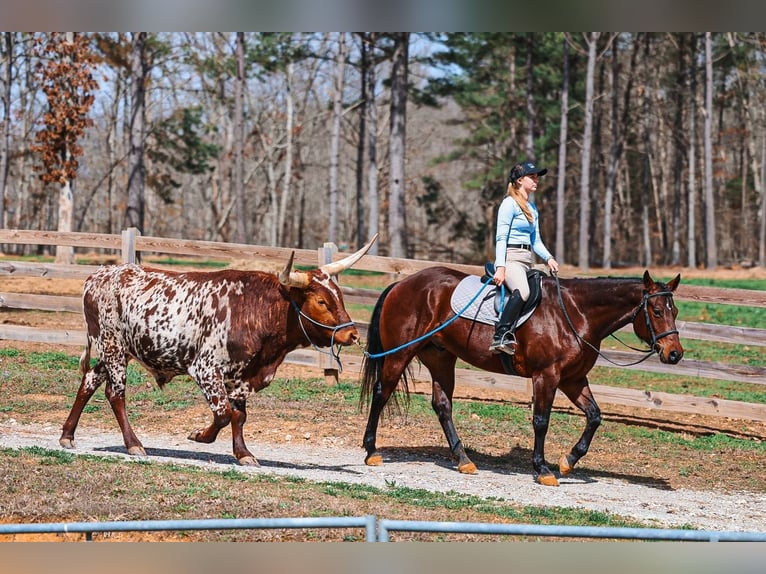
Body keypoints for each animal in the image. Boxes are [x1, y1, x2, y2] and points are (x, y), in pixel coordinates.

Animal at [359, 266, 683, 486]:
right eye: (656, 311)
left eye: (675, 311)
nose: (675, 354)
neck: (576, 313)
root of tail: (403, 283)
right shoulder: (546, 376)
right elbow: (541, 421)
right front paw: (542, 469)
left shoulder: (573, 380)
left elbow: (594, 416)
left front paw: (568, 461)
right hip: (400, 354)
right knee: (382, 393)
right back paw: (371, 450)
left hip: (440, 359)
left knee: (442, 406)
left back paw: (463, 459)